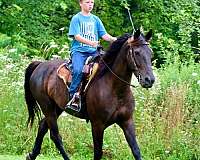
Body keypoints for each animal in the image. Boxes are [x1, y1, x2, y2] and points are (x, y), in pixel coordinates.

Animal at [24, 29, 155, 159]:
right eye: (137, 52)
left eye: (150, 53)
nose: (150, 80)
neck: (116, 89)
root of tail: (40, 65)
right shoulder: (97, 124)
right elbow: (98, 152)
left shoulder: (127, 121)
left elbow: (136, 150)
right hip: (47, 107)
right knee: (55, 135)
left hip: (57, 108)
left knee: (42, 126)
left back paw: (32, 155)